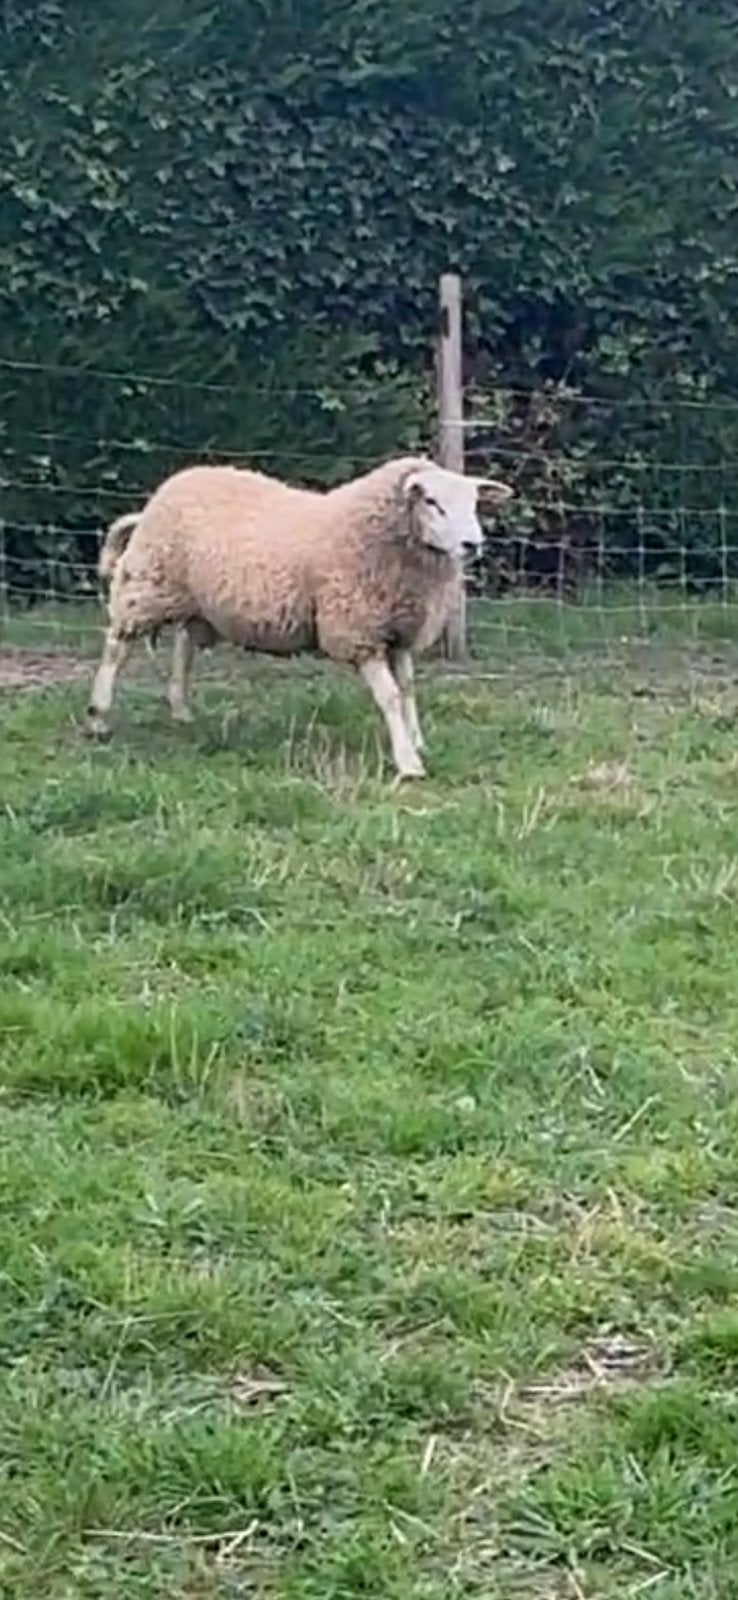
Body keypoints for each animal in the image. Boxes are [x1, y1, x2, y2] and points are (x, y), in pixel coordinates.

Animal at [86, 456, 512, 777]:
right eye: (432, 502)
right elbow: (390, 696)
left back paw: (180, 710)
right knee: (116, 646)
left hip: (195, 598)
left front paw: (416, 741)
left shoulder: (398, 631)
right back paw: (98, 717)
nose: (473, 544)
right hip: (149, 582)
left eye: (474, 504)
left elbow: (407, 689)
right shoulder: (357, 630)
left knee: (184, 641)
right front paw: (408, 763)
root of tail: (161, 494)